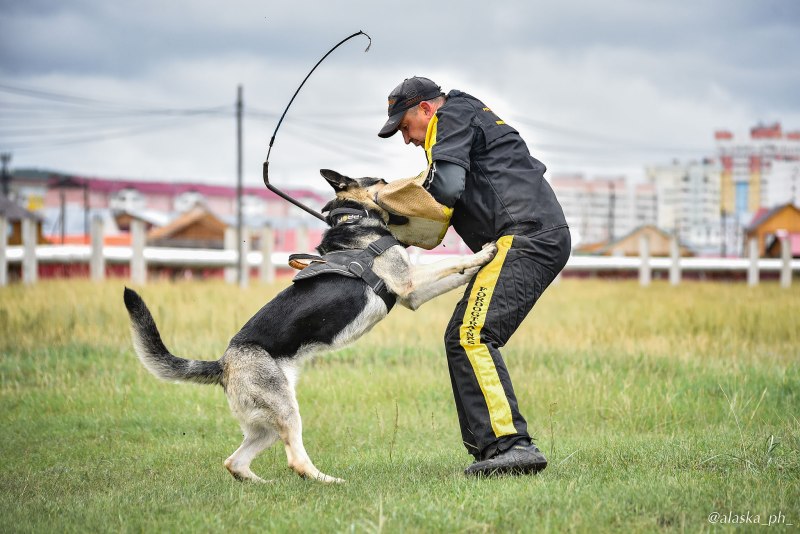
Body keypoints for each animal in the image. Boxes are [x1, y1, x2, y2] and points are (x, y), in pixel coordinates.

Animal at [122, 171, 496, 486]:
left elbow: (454, 275)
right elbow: (450, 262)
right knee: (296, 462)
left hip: (268, 424)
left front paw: (479, 266)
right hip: (287, 411)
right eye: (380, 180)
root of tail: (224, 363)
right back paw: (329, 482)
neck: (355, 219)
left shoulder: (413, 294)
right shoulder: (410, 282)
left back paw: (262, 485)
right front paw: (485, 252)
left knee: (235, 462)